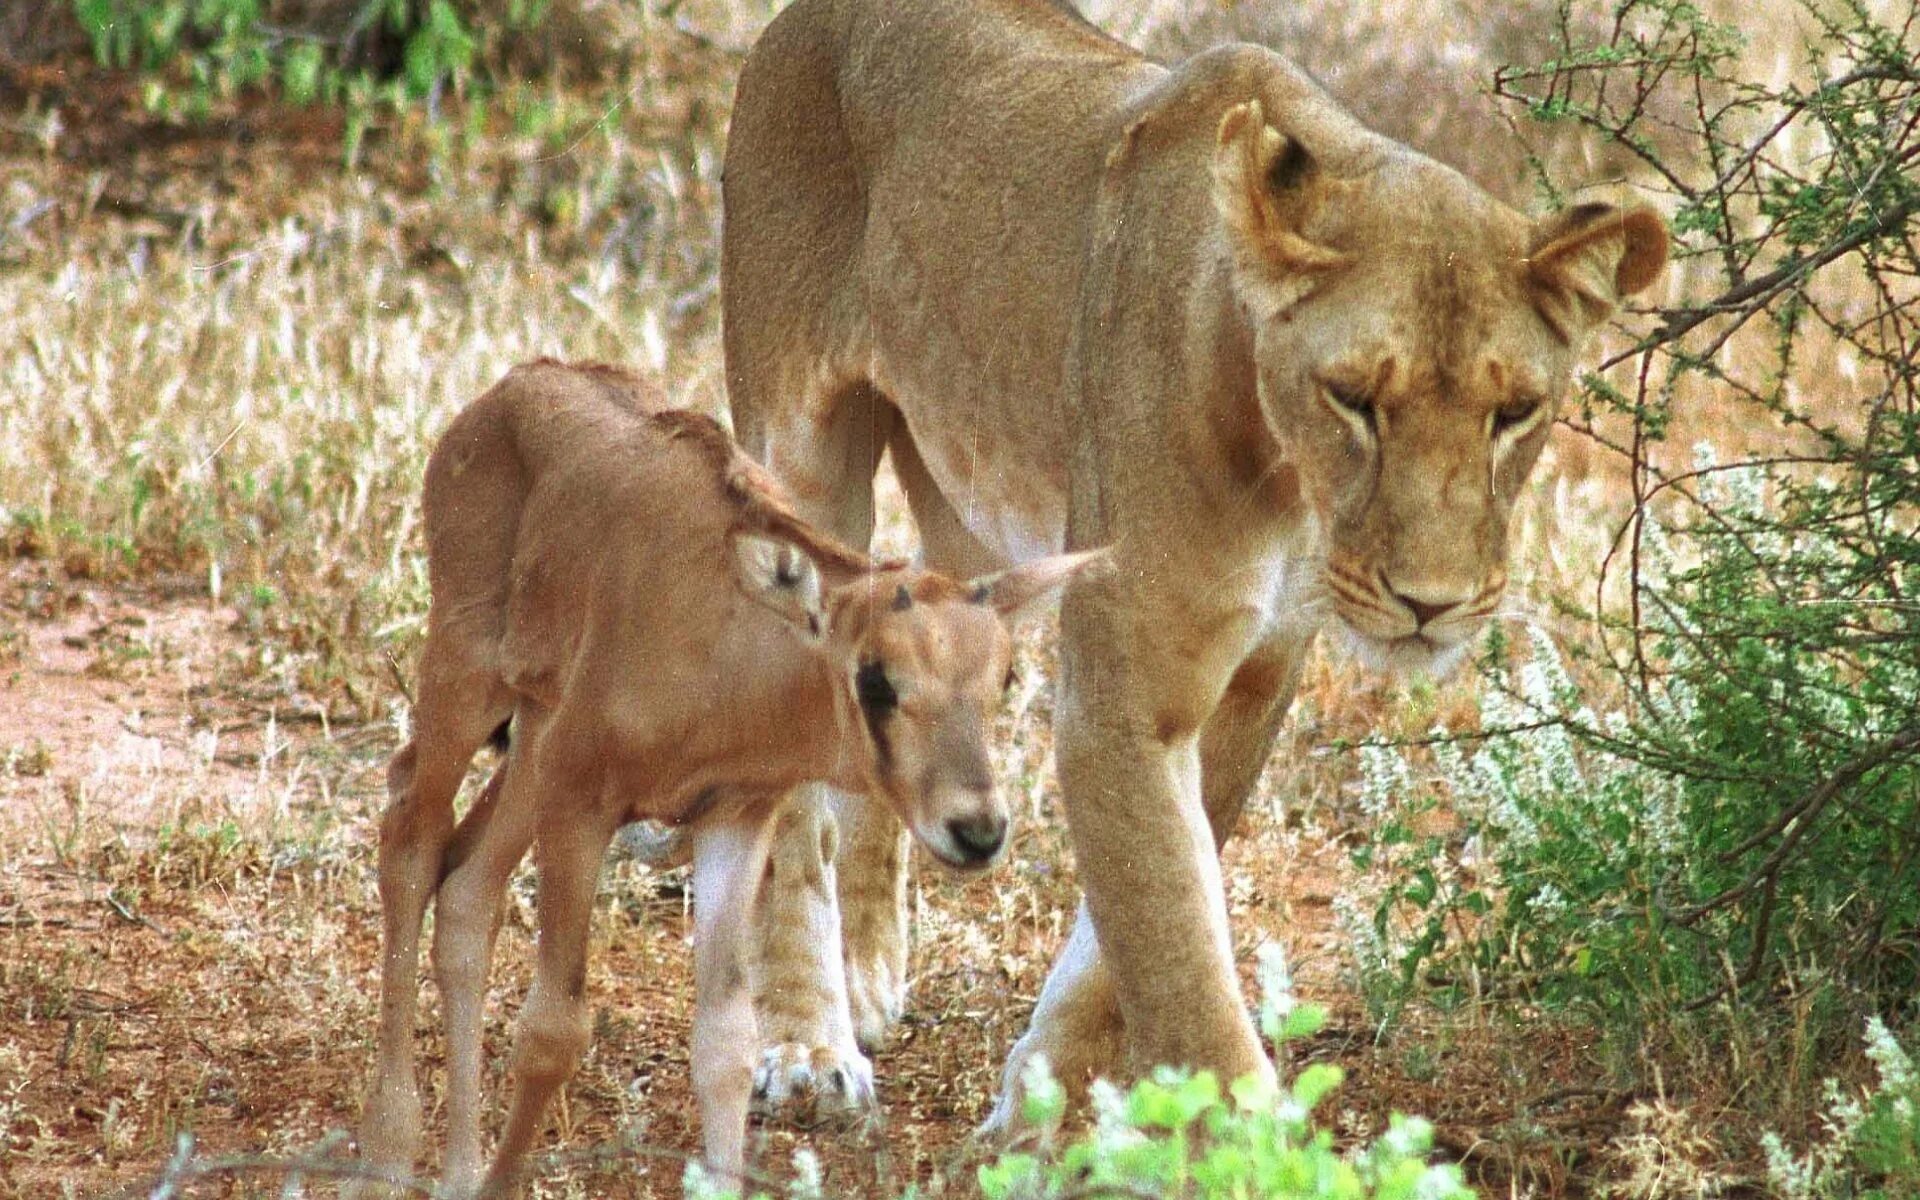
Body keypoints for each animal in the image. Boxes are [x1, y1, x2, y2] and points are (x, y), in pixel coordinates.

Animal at [347, 360, 1098, 1190]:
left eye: (1004, 676)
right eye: (876, 678)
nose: (978, 830)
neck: (724, 649)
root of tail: (510, 389)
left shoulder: (731, 817)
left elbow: (725, 1045)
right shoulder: (581, 806)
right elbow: (554, 1029)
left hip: (533, 739)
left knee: (467, 885)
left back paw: (455, 1171)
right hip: (466, 679)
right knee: (411, 835)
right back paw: (387, 1150)